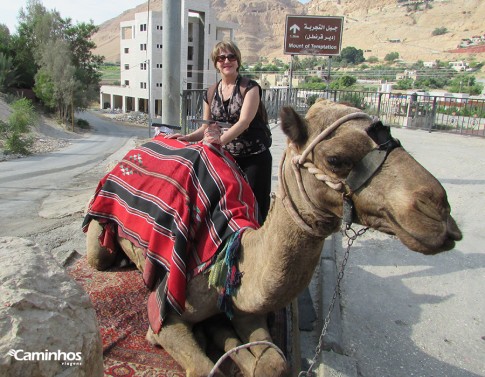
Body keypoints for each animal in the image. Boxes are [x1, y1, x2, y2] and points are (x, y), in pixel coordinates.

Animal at [84, 100, 462, 376]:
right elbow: (202, 365)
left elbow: (272, 361)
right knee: (98, 255)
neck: (230, 245)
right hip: (101, 227)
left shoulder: (244, 304)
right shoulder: (164, 313)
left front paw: (225, 340)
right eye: (336, 158)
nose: (440, 213)